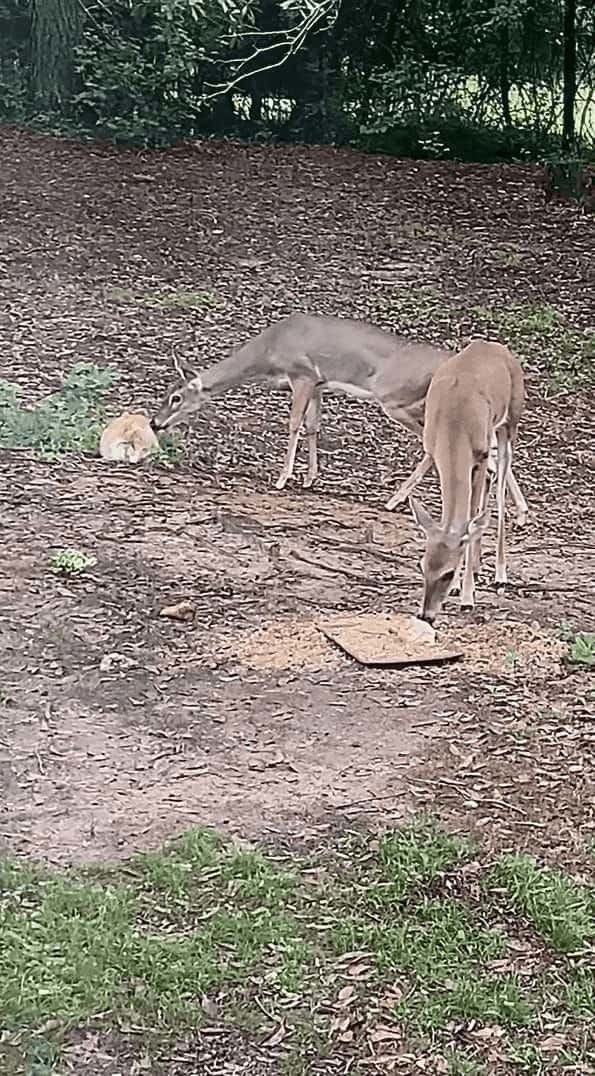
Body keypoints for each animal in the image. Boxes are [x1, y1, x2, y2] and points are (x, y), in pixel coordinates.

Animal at [150, 312, 527, 516]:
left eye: (175, 397)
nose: (154, 422)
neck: (268, 354)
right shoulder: (319, 383)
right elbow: (313, 426)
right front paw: (310, 478)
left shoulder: (302, 373)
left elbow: (293, 424)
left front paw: (283, 478)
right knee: (492, 447)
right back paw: (521, 511)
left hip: (396, 400)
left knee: (434, 447)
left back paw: (394, 500)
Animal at [408, 335, 525, 624]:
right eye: (421, 565)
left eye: (447, 573)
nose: (426, 615)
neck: (454, 425)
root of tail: (496, 347)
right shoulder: (436, 456)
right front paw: (462, 583)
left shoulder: (480, 454)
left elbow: (473, 514)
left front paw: (467, 597)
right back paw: (479, 566)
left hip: (509, 423)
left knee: (499, 488)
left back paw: (500, 575)